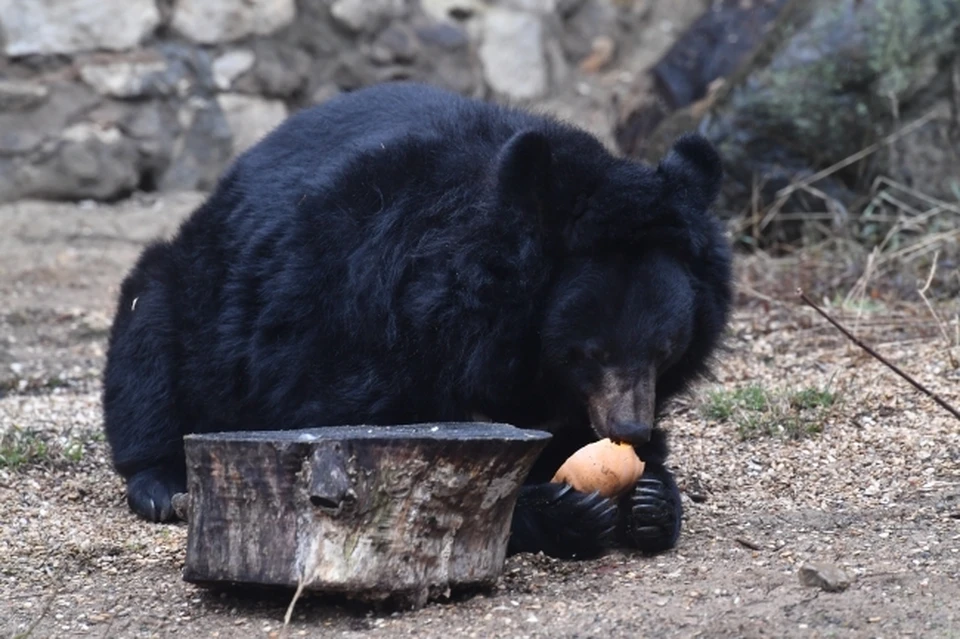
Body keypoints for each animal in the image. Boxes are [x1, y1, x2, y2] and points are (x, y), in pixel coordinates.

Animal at [105, 80, 732, 560]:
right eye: (590, 351)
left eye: (666, 349)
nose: (629, 429)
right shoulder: (359, 316)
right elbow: (346, 428)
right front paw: (562, 512)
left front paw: (651, 498)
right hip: (191, 296)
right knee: (148, 354)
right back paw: (162, 485)